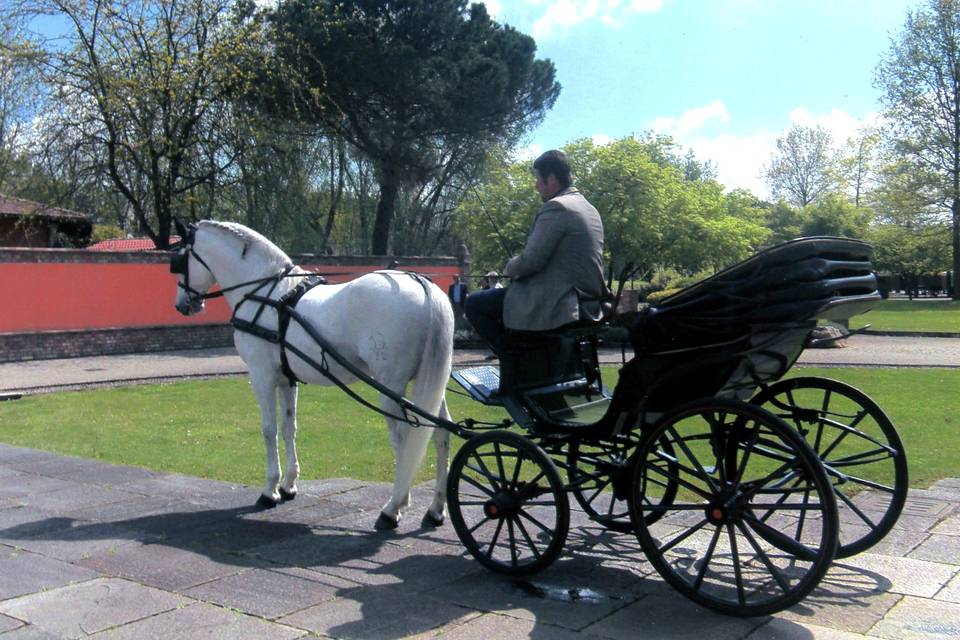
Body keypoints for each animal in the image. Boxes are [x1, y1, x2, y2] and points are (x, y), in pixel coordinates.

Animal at [171, 220, 456, 528]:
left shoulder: (261, 376)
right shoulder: (287, 379)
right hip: (429, 381)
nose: (182, 304)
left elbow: (269, 430)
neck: (266, 292)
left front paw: (269, 490)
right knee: (441, 433)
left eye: (179, 260)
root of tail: (421, 283)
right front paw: (288, 485)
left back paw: (393, 508)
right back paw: (436, 508)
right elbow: (289, 427)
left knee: (404, 439)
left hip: (391, 386)